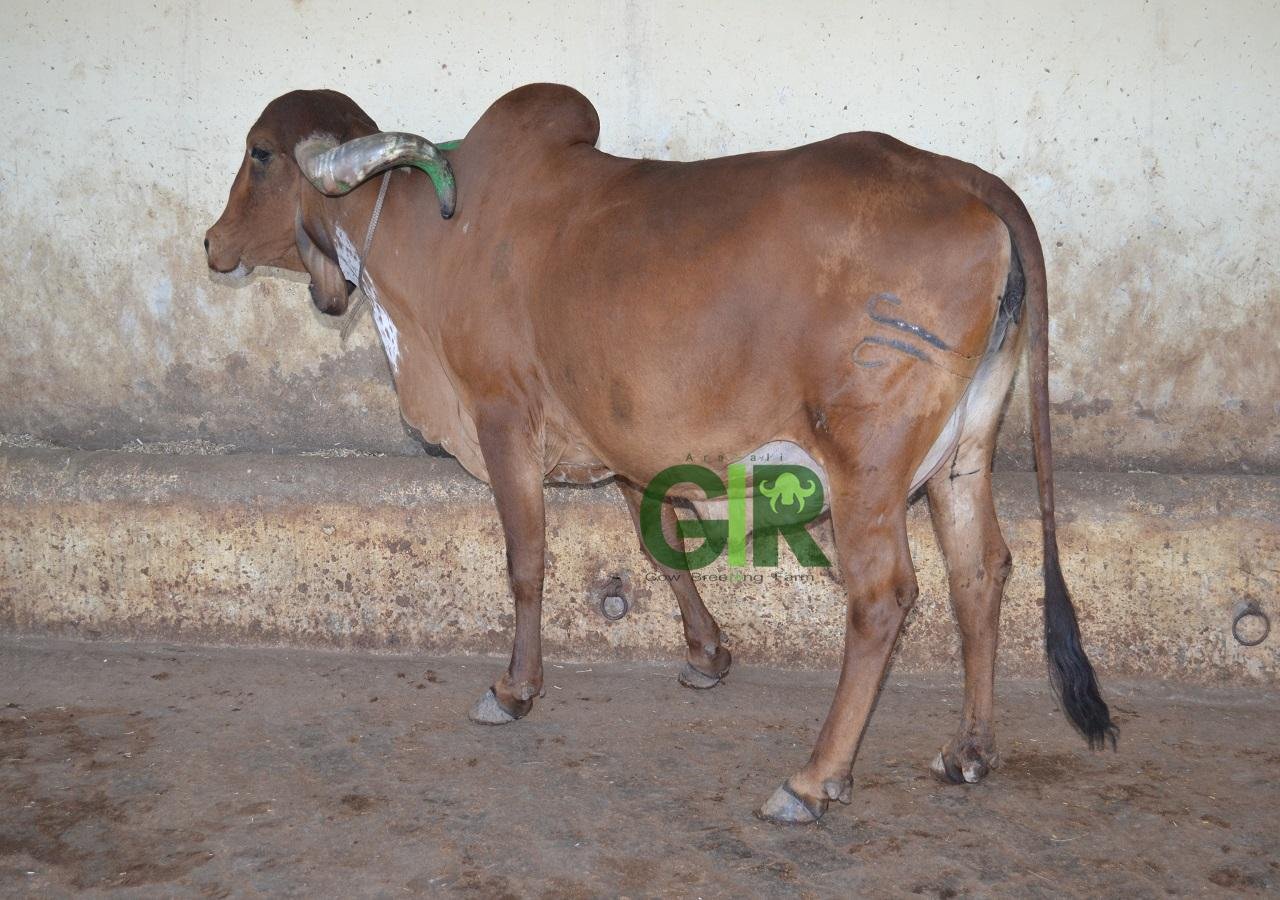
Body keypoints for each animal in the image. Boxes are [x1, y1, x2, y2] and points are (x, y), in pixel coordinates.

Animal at [205, 84, 1115, 824]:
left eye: (259, 154)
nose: (213, 243)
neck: (431, 233)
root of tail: (967, 181)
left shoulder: (503, 415)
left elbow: (527, 560)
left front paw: (514, 689)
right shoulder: (617, 444)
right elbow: (662, 547)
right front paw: (707, 655)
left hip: (868, 464)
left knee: (885, 598)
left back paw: (813, 779)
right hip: (964, 449)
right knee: (981, 572)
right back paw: (970, 751)